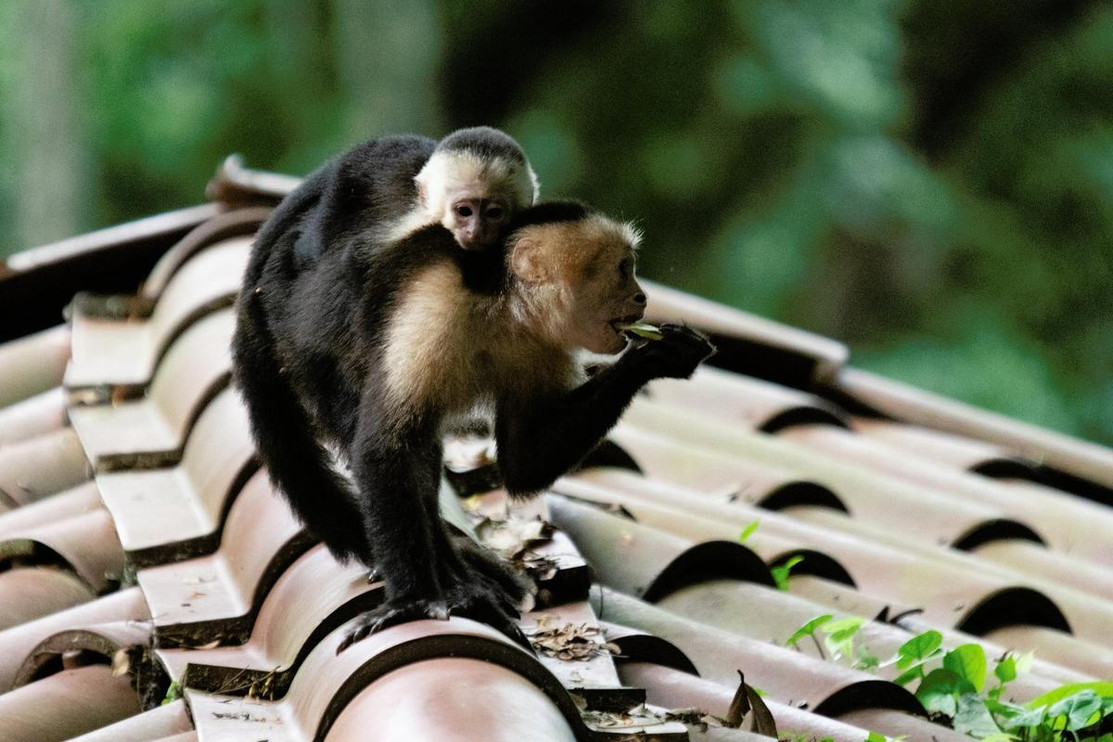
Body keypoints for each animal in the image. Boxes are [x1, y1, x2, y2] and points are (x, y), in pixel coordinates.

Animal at [231, 200, 716, 649]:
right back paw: (454, 584)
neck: (504, 309)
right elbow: (383, 447)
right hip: (306, 348)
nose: (641, 297)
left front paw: (657, 357)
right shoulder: (434, 305)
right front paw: (412, 601)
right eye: (623, 269)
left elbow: (525, 463)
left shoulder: (541, 345)